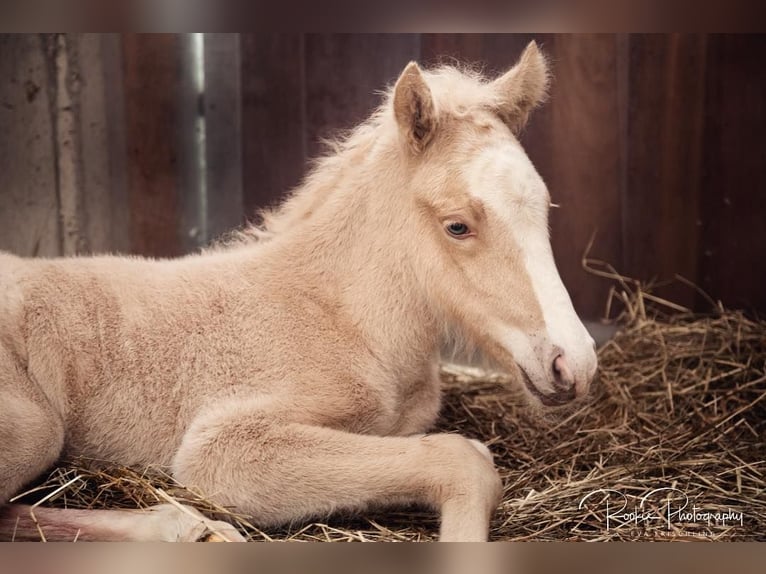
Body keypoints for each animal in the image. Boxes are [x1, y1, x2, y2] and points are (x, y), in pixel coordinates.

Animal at [0, 42, 600, 544]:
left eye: (543, 207)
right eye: (458, 226)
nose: (575, 363)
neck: (343, 318)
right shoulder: (223, 447)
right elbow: (464, 459)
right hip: (35, 429)